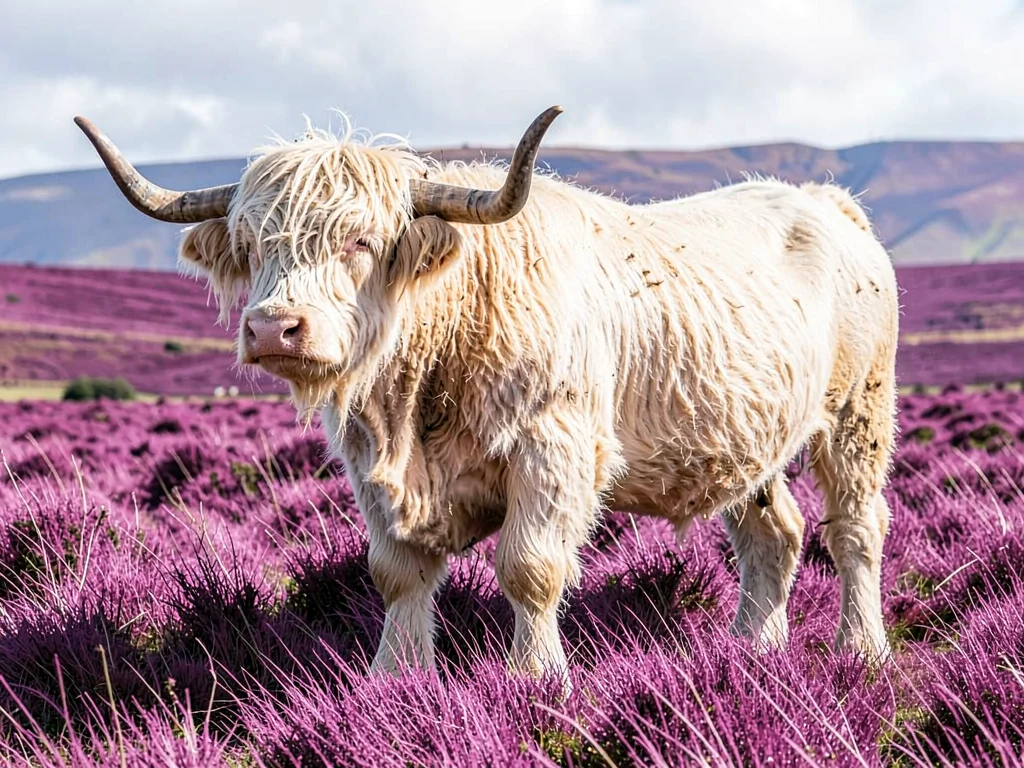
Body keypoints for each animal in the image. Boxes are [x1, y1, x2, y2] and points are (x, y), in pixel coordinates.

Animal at [74, 106, 899, 688]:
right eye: (250, 246)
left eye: (361, 241)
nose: (276, 327)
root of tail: (829, 204)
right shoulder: (372, 467)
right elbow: (396, 573)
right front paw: (395, 679)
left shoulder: (552, 451)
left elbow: (529, 568)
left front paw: (534, 676)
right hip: (750, 439)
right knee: (774, 533)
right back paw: (750, 649)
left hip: (859, 414)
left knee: (855, 531)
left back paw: (860, 648)